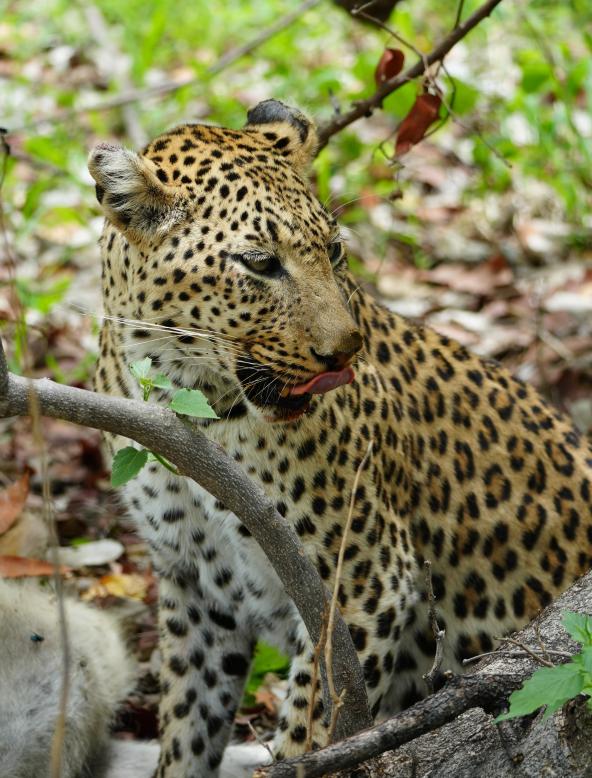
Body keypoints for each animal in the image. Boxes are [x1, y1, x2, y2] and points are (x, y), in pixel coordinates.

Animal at [88, 99, 592, 777]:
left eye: (332, 250)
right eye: (259, 263)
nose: (344, 352)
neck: (185, 399)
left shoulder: (364, 585)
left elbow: (317, 732)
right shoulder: (194, 587)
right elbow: (188, 729)